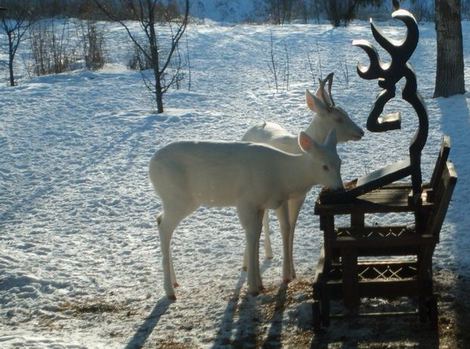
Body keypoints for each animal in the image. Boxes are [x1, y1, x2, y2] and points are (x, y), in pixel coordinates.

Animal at [150, 129, 342, 298]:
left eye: (339, 162)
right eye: (324, 166)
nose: (339, 188)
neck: (282, 176)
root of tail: (151, 167)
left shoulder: (265, 204)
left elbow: (261, 233)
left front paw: (261, 282)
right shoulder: (246, 201)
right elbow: (251, 235)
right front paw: (252, 287)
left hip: (175, 200)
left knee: (159, 219)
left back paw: (174, 282)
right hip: (178, 197)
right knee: (164, 228)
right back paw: (169, 291)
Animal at [242, 72, 364, 278]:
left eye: (346, 113)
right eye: (339, 118)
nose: (361, 132)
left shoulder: (300, 196)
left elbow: (292, 227)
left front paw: (292, 272)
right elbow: (285, 228)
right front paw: (286, 275)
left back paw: (266, 255)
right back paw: (252, 261)